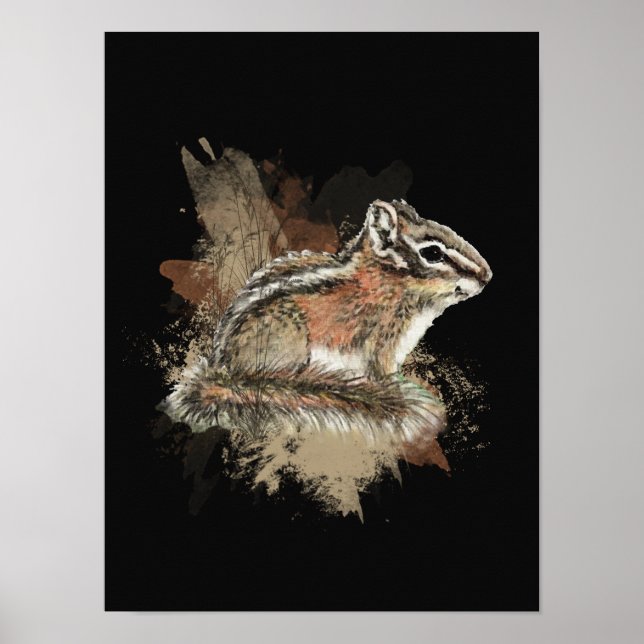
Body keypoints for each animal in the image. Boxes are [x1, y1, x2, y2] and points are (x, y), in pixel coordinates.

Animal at [163, 199, 492, 470]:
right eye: (433, 253)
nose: (487, 276)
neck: (389, 281)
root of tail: (224, 372)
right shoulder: (381, 344)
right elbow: (383, 375)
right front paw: (397, 393)